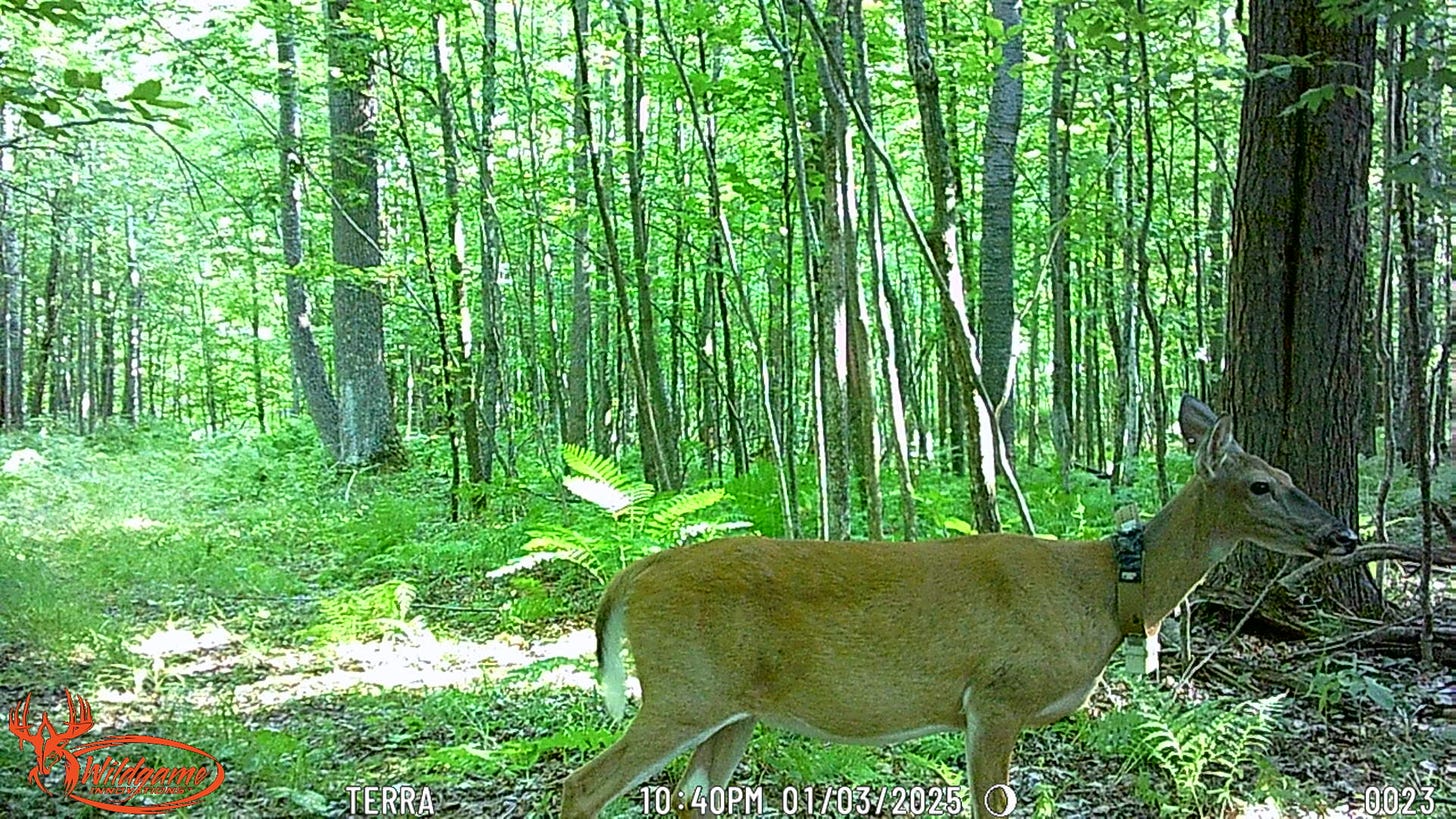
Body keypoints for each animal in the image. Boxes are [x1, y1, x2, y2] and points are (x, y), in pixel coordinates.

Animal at [560, 395, 1359, 818]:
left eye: (1290, 474)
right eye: (1261, 484)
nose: (1343, 534)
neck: (1103, 591)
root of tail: (633, 575)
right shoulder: (997, 695)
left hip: (734, 709)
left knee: (686, 800)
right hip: (685, 689)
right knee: (583, 784)